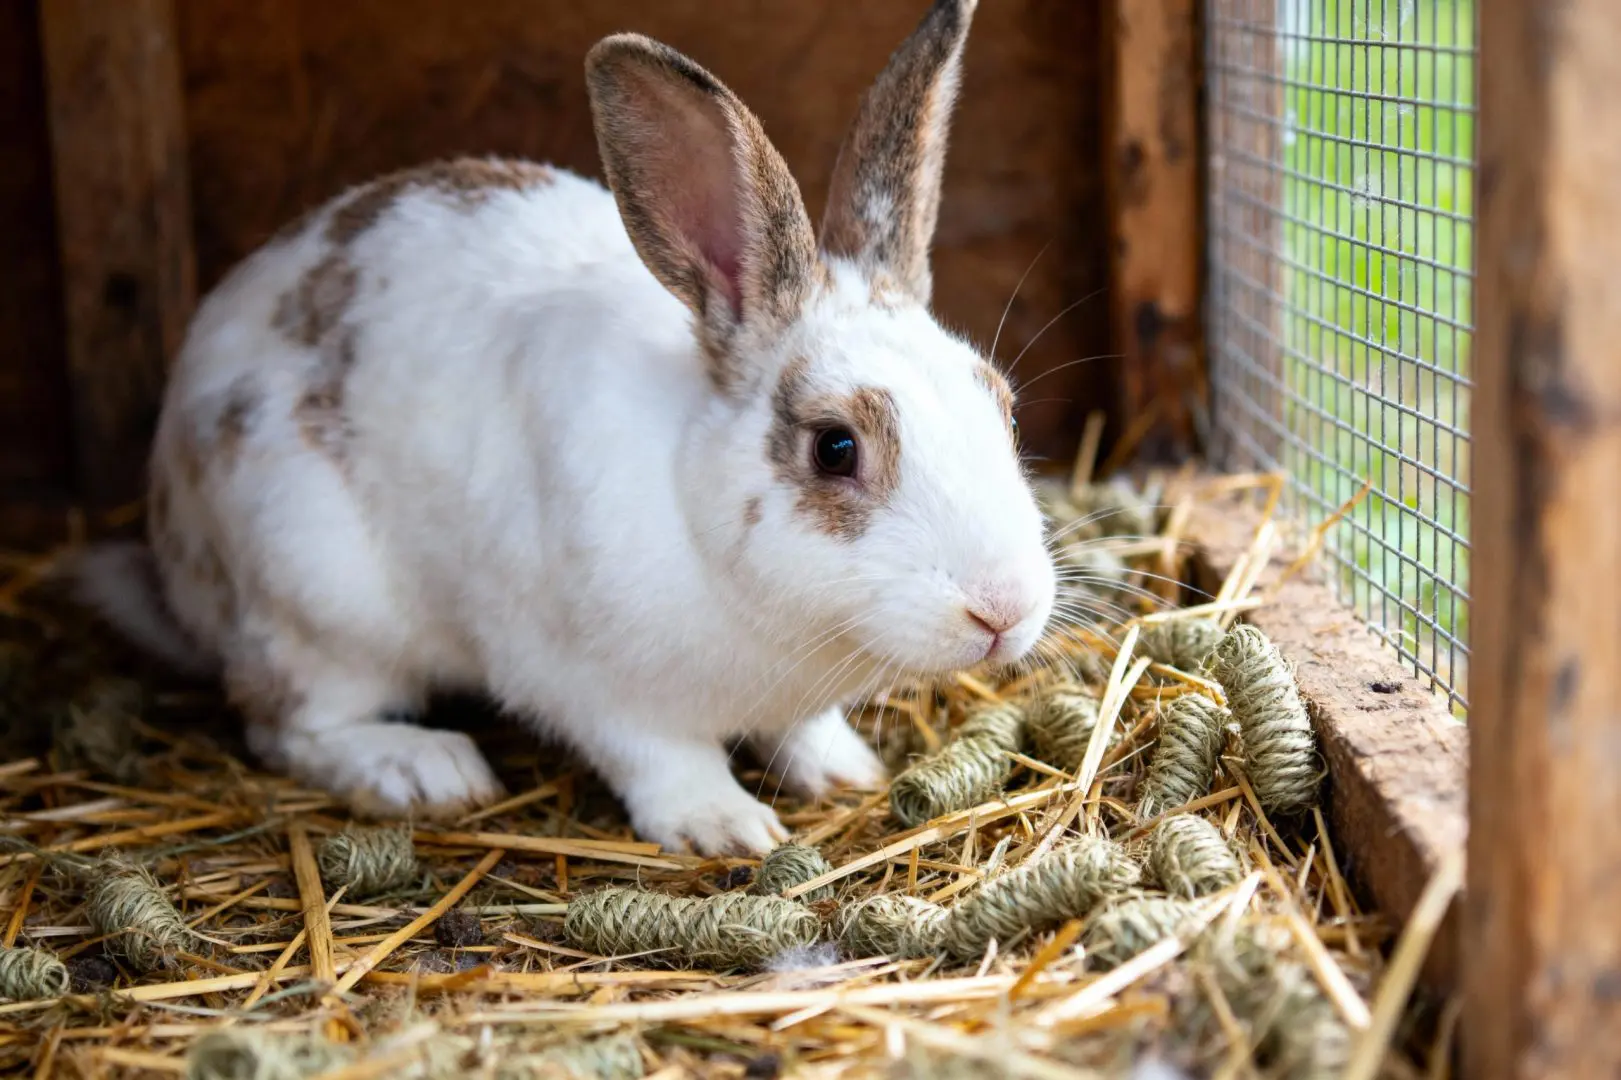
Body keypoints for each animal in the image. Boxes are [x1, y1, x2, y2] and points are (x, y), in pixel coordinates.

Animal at [71, 0, 1057, 856]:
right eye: (835, 447)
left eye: (1002, 409)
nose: (1003, 610)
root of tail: (172, 537)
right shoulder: (587, 683)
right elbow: (663, 758)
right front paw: (726, 827)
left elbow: (803, 731)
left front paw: (845, 772)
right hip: (313, 598)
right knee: (289, 726)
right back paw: (423, 768)